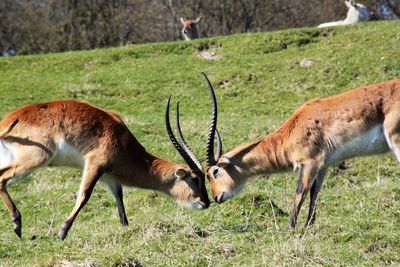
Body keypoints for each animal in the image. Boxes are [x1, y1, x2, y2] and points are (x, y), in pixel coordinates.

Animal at [0, 82, 216, 241]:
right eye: (194, 179)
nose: (206, 202)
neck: (122, 139)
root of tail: (12, 119)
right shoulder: (94, 165)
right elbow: (84, 196)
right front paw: (62, 233)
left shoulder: (109, 177)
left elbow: (119, 198)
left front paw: (125, 227)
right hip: (35, 159)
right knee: (2, 178)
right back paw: (17, 224)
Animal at [205, 78, 400, 229]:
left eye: (215, 171)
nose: (216, 197)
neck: (292, 131)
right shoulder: (323, 165)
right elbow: (315, 192)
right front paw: (308, 226)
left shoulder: (310, 162)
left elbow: (300, 193)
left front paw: (290, 228)